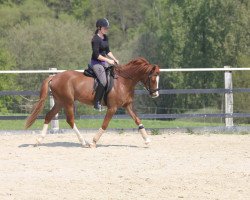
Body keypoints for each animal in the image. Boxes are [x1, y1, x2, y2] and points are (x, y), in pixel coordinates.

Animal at [25, 57, 160, 148]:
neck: (123, 81)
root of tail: (54, 77)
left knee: (49, 116)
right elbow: (105, 124)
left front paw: (147, 140)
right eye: (153, 78)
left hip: (59, 102)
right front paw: (94, 142)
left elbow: (137, 120)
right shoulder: (113, 108)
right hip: (68, 102)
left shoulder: (127, 106)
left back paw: (38, 140)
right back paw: (83, 142)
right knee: (70, 120)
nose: (155, 94)